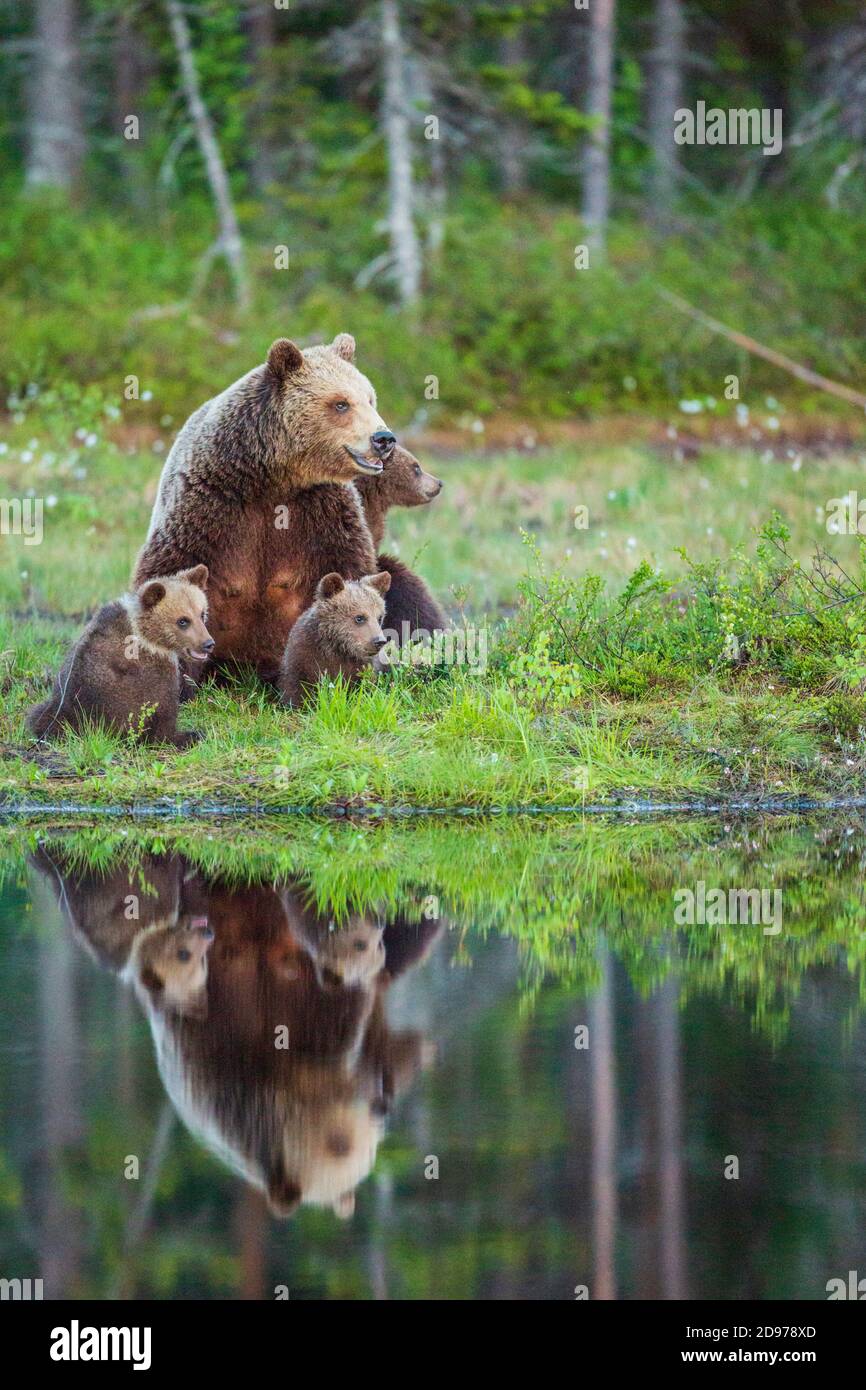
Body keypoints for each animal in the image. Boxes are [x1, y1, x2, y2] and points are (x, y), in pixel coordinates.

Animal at [26, 567, 212, 748]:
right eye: (183, 621)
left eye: (202, 613)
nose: (208, 643)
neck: (147, 635)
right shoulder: (150, 670)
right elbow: (163, 708)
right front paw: (186, 734)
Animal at [134, 334, 395, 682]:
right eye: (341, 403)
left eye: (370, 399)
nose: (384, 438)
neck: (272, 477)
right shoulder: (209, 503)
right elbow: (173, 565)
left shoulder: (322, 510)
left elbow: (345, 567)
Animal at [278, 570, 391, 708]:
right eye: (359, 618)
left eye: (379, 618)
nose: (379, 641)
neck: (337, 647)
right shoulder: (303, 658)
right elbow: (297, 689)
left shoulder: (363, 668)